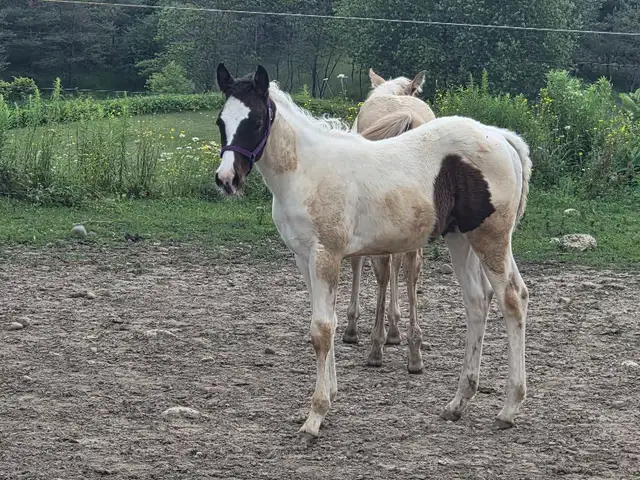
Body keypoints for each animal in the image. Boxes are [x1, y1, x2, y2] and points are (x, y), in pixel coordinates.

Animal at [344, 68, 436, 375]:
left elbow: (361, 263)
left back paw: (376, 348)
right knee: (412, 267)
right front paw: (396, 331)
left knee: (383, 268)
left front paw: (353, 327)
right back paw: (414, 353)